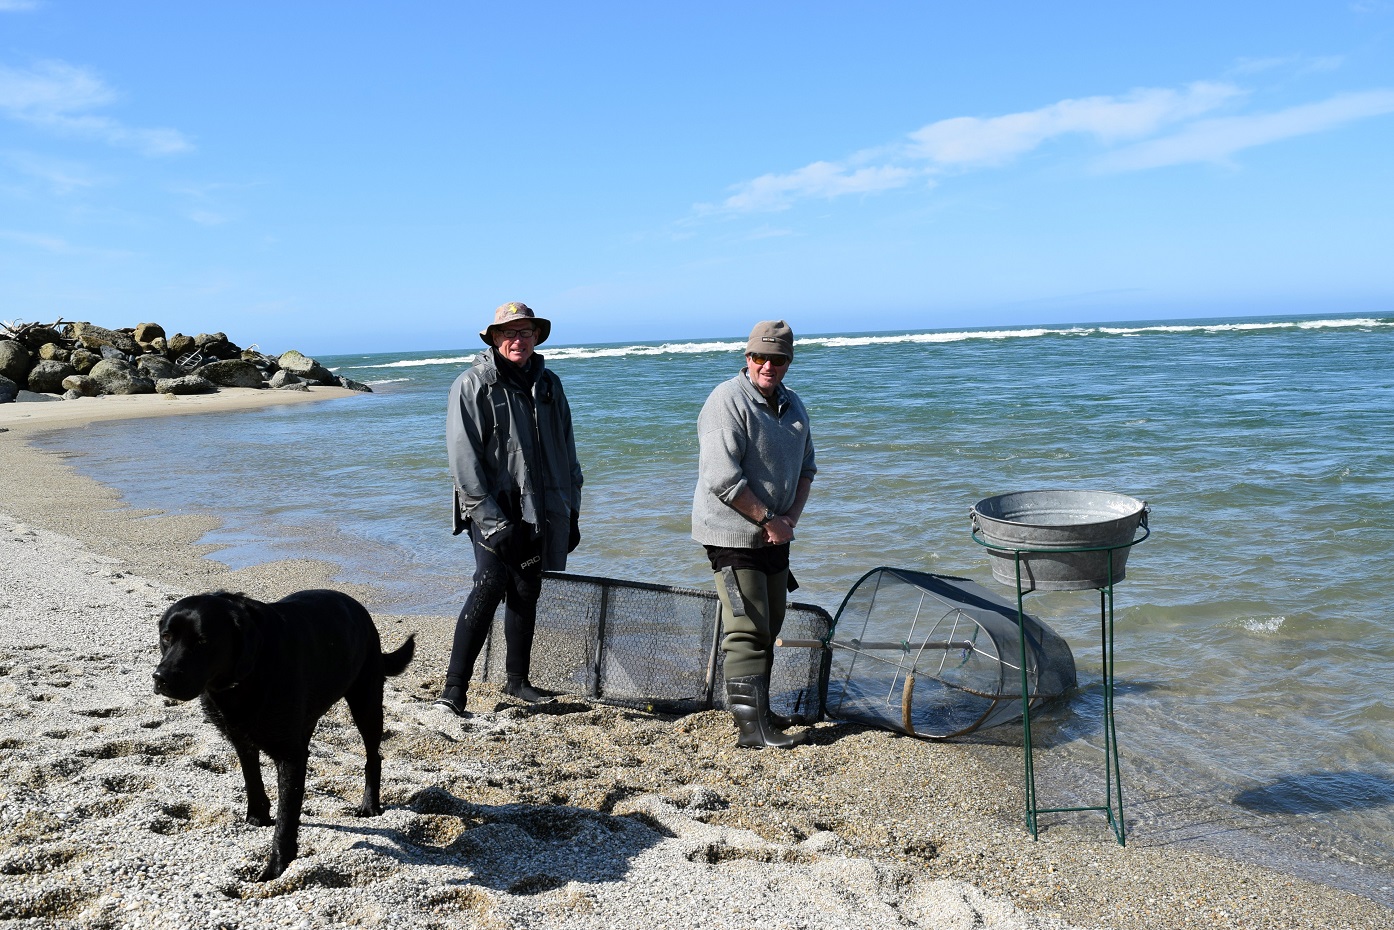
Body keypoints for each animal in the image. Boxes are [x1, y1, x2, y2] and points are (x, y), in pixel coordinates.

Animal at [154, 588, 412, 881]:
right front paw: (257, 818)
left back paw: (370, 806)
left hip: (366, 703)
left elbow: (287, 815)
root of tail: (361, 609)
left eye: (202, 642)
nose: (160, 678)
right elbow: (252, 781)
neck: (248, 672)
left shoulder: (289, 757)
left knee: (373, 757)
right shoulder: (242, 740)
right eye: (166, 637)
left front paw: (276, 866)